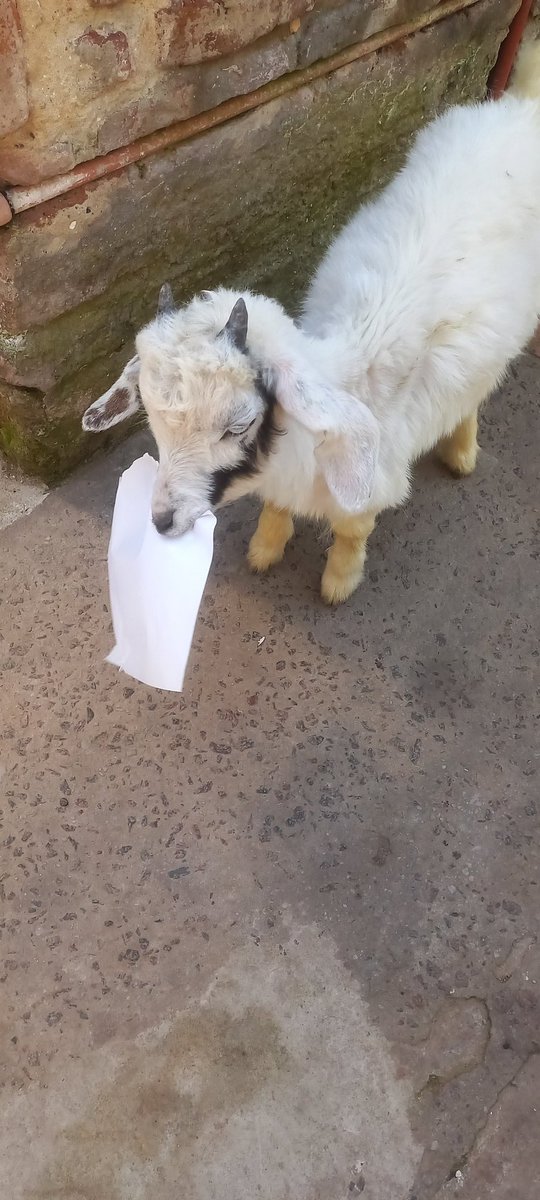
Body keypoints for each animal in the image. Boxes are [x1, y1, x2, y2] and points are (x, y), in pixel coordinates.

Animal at [83, 42, 540, 604]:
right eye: (149, 413)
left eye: (238, 426)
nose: (163, 521)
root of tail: (519, 110)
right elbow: (277, 507)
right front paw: (266, 546)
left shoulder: (372, 477)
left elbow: (352, 528)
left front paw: (338, 581)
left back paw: (461, 451)